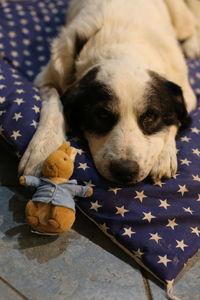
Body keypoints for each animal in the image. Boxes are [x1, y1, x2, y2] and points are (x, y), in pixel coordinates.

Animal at [18, 0, 200, 184]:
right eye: (102, 115)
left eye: (150, 117)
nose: (125, 170)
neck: (126, 50)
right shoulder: (47, 79)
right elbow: (54, 105)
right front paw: (43, 149)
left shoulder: (186, 92)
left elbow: (175, 120)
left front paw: (164, 155)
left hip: (181, 20)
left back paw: (192, 45)